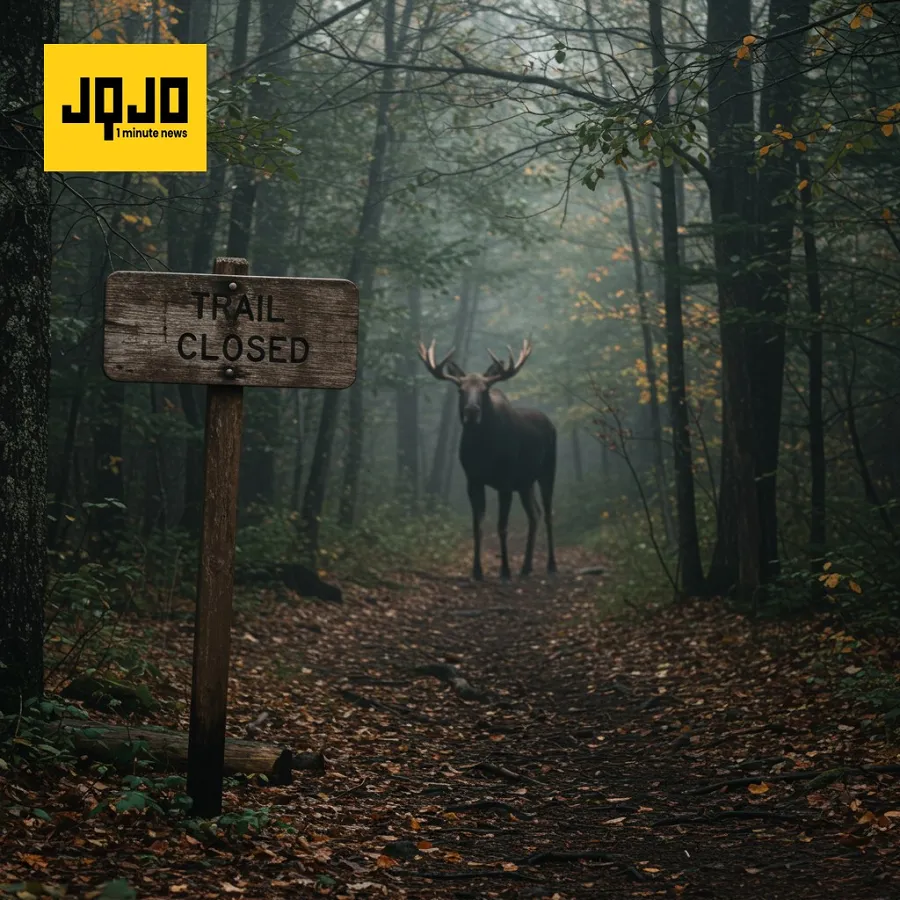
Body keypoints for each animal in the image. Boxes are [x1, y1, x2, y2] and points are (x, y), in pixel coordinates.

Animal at [418, 337, 557, 581]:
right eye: (460, 389)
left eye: (485, 390)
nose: (471, 411)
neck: (483, 449)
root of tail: (551, 424)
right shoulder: (473, 480)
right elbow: (477, 525)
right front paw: (477, 570)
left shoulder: (505, 481)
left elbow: (502, 526)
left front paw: (505, 571)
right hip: (525, 482)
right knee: (535, 513)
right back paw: (526, 567)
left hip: (547, 471)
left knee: (548, 513)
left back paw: (551, 565)